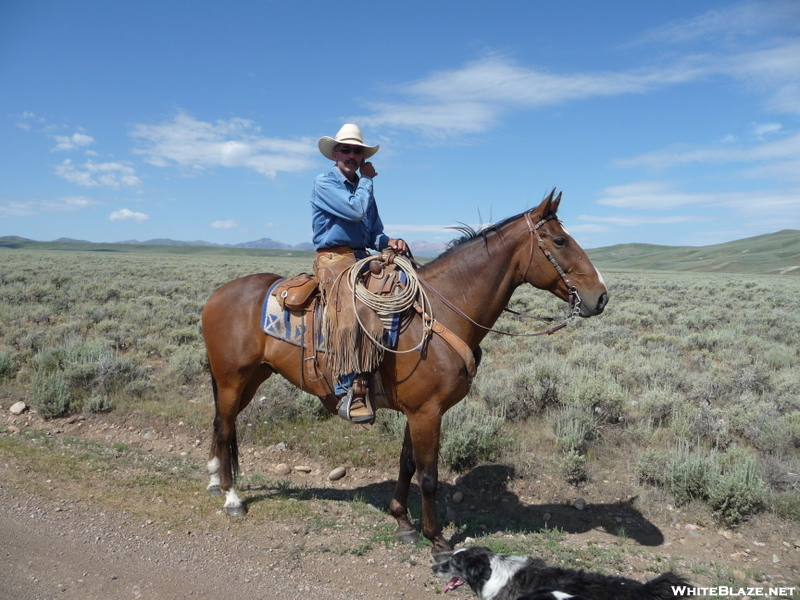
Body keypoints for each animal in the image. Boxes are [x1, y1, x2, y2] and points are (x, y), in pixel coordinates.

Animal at [200, 191, 608, 556]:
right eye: (560, 240)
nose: (601, 296)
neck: (445, 311)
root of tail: (216, 295)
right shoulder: (427, 412)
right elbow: (428, 476)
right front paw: (436, 538)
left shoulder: (419, 411)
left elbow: (407, 463)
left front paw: (402, 521)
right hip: (232, 378)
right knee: (225, 427)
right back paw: (232, 498)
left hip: (252, 377)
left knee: (222, 423)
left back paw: (214, 479)